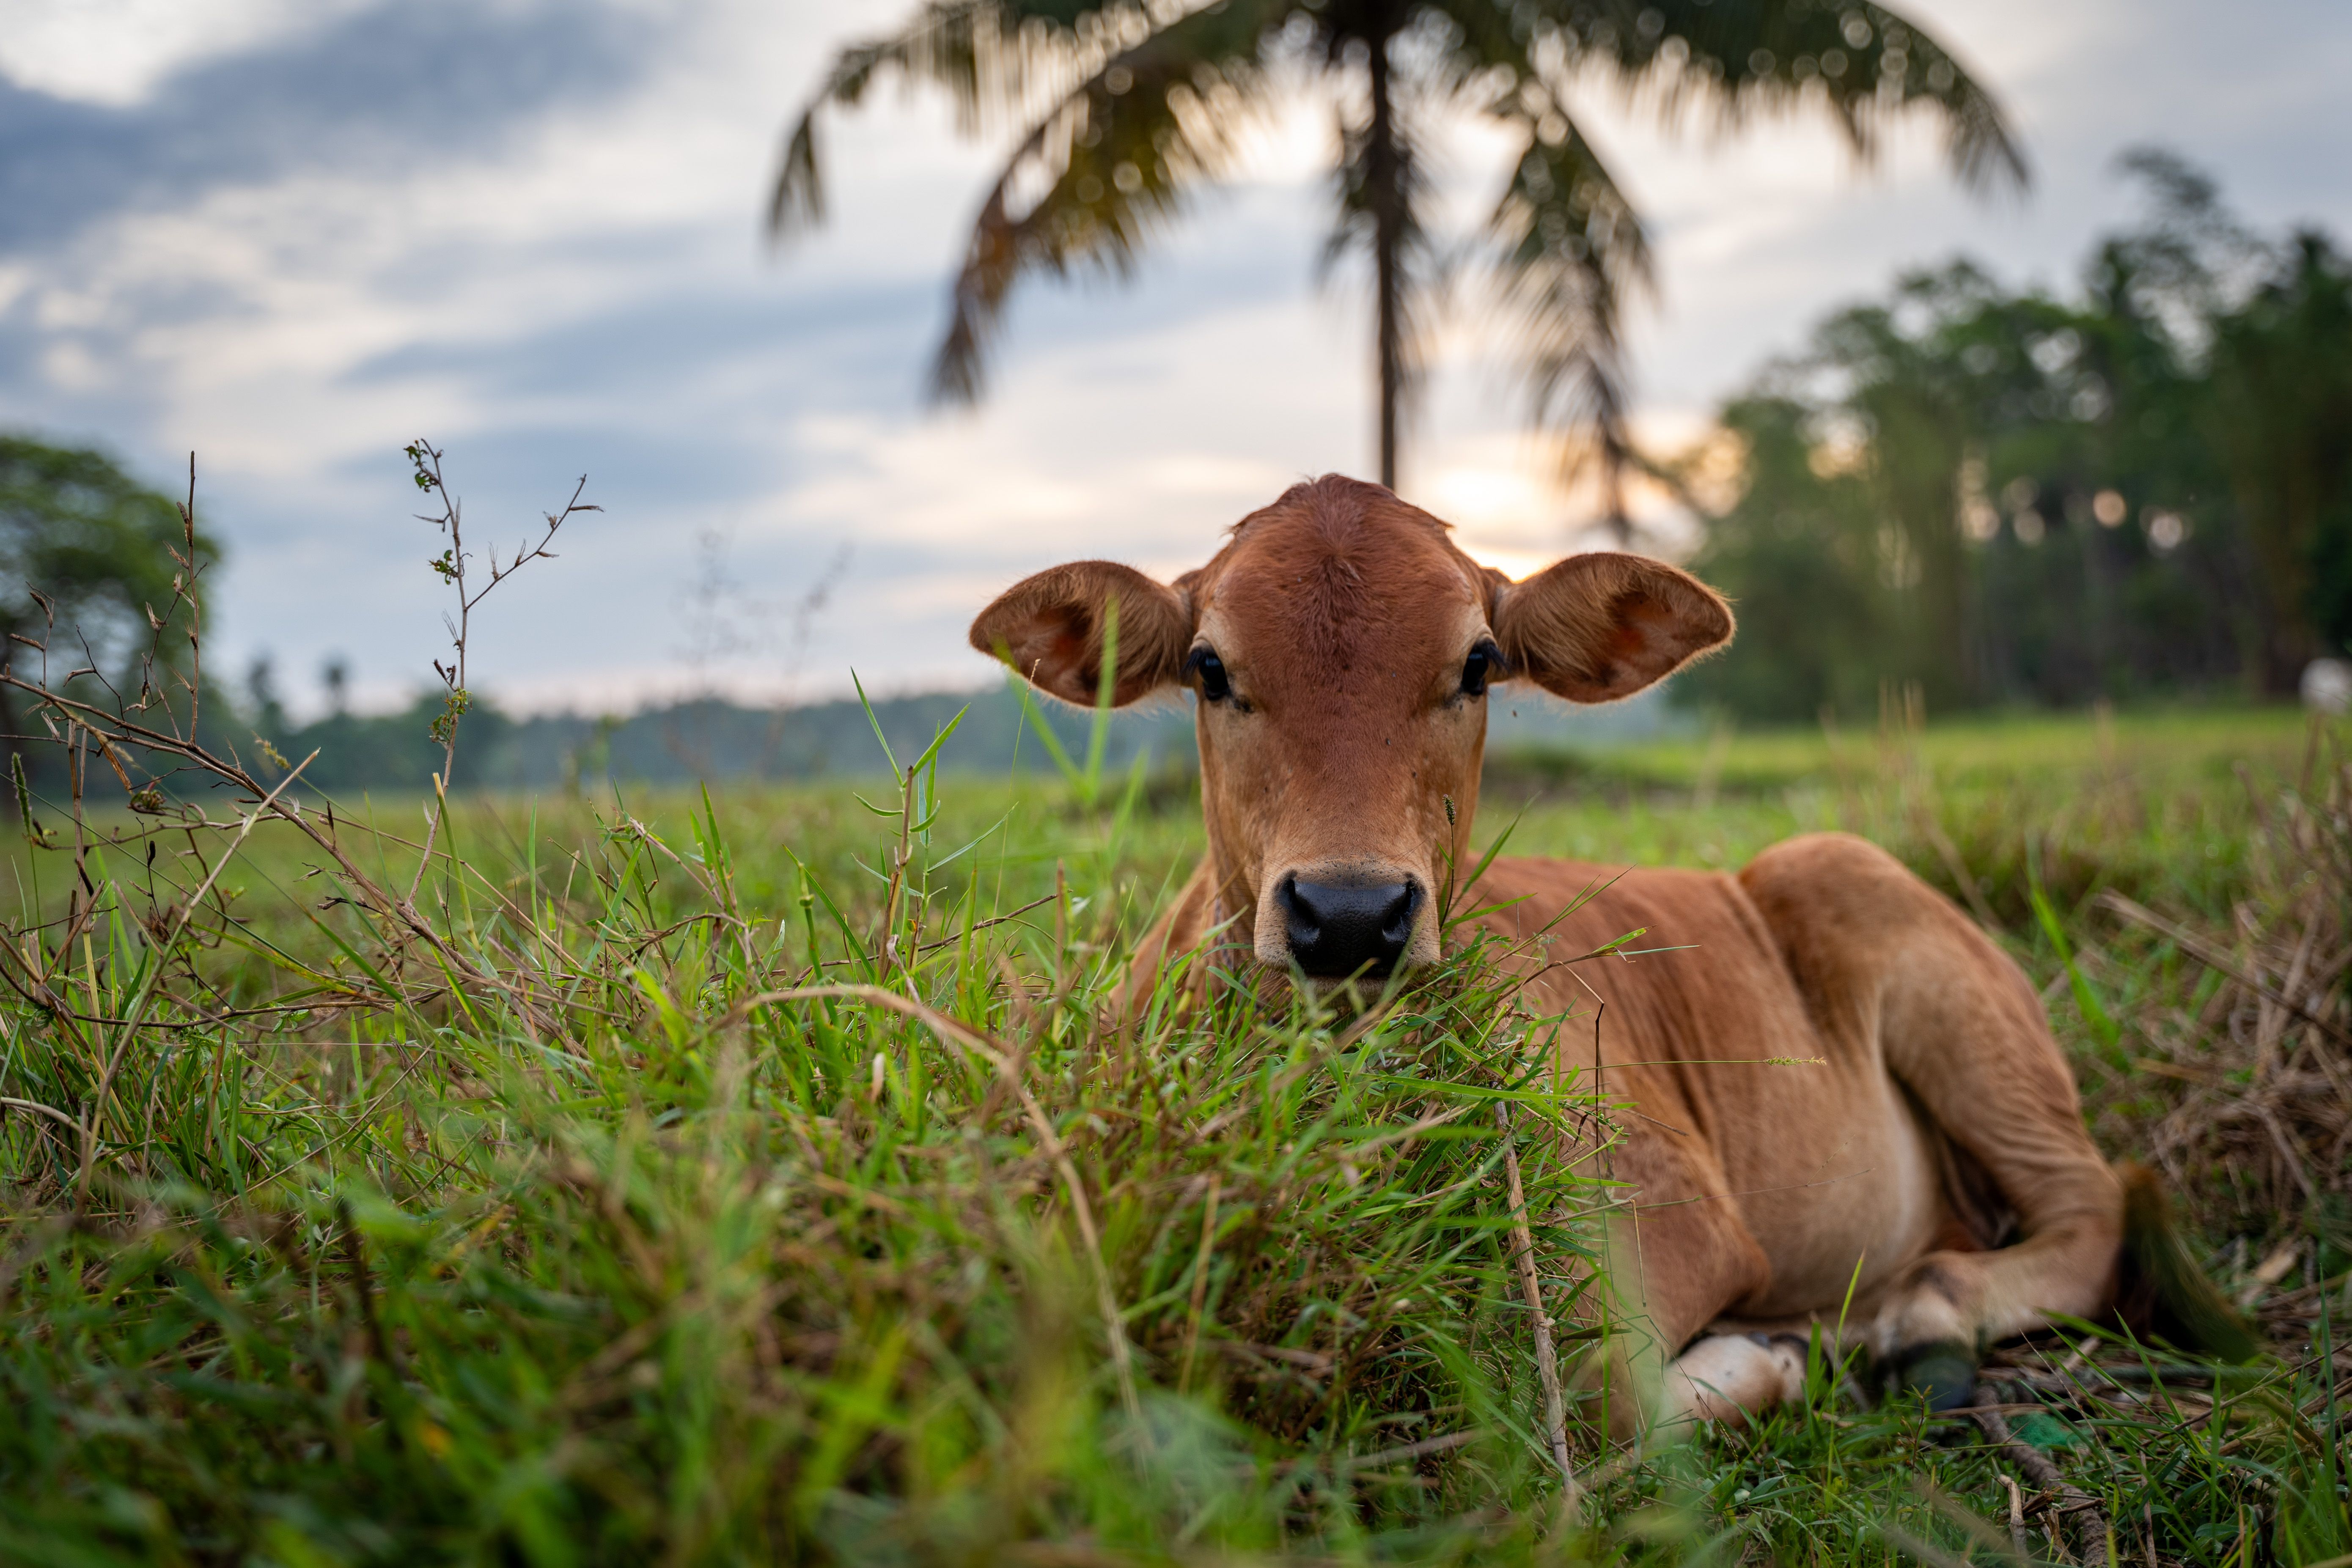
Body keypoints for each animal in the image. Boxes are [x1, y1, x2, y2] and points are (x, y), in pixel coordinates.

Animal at [969, 473, 2231, 1436]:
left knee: (2093, 1211)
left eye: (1479, 664)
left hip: (1907, 951)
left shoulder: (1670, 1207)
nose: (1351, 913)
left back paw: (1913, 1312)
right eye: (1210, 668)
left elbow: (1598, 1382)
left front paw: (1767, 1358)